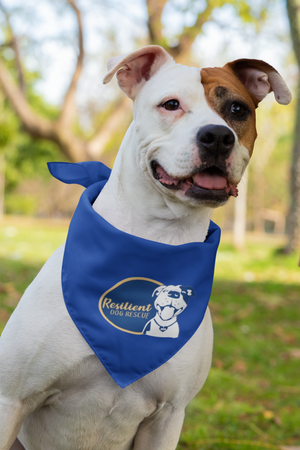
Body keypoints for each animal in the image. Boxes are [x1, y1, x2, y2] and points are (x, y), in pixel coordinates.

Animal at [0, 43, 290, 450]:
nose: (218, 136)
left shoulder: (168, 415)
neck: (157, 239)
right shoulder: (12, 399)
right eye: (171, 105)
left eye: (237, 110)